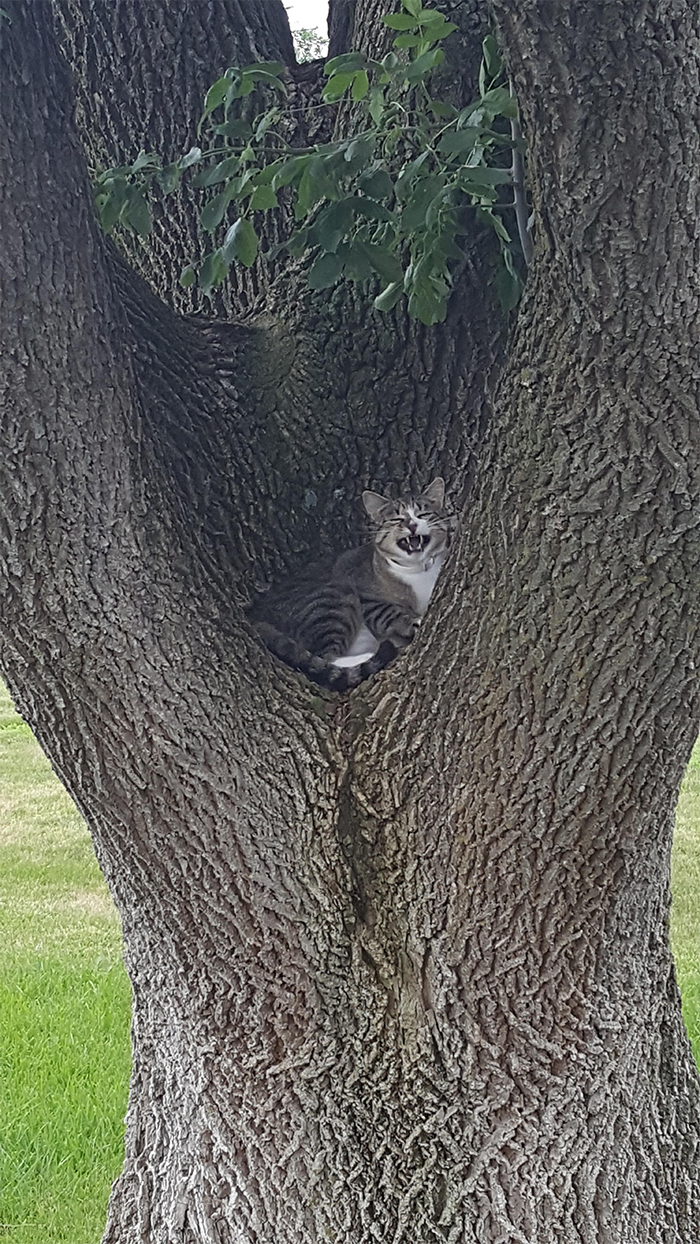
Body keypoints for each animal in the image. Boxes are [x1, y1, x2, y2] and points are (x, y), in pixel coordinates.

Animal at [252, 475, 455, 691]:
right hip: (332, 601)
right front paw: (414, 620)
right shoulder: (366, 597)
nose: (412, 524)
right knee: (327, 658)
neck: (419, 571)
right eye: (397, 519)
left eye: (423, 514)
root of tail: (256, 613)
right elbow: (391, 612)